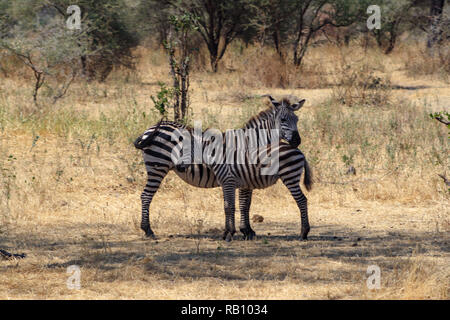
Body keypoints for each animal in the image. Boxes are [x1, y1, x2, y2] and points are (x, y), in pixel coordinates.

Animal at [134, 96, 312, 241]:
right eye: (283, 119)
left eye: (296, 119)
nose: (297, 141)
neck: (251, 142)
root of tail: (150, 129)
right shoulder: (244, 176)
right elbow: (242, 204)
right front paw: (245, 231)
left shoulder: (246, 177)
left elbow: (245, 204)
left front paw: (246, 231)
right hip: (157, 166)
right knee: (146, 195)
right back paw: (148, 230)